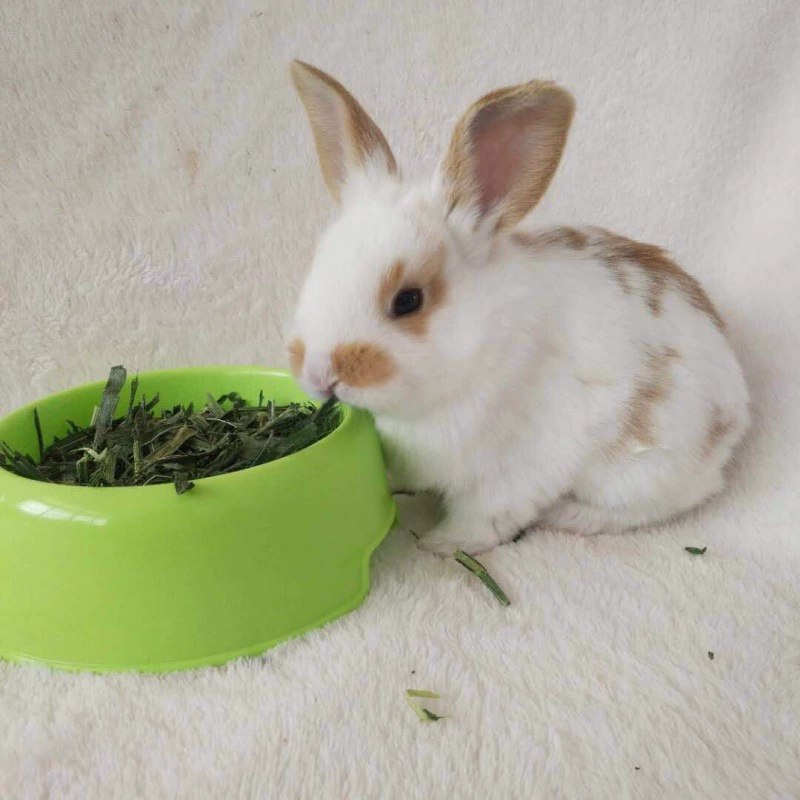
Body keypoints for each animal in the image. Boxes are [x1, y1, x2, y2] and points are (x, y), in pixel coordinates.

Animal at [285, 60, 750, 555]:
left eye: (407, 301)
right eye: (316, 268)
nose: (319, 373)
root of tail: (736, 407)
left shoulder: (513, 470)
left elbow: (485, 518)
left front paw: (440, 544)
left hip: (641, 468)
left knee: (663, 504)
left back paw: (572, 516)